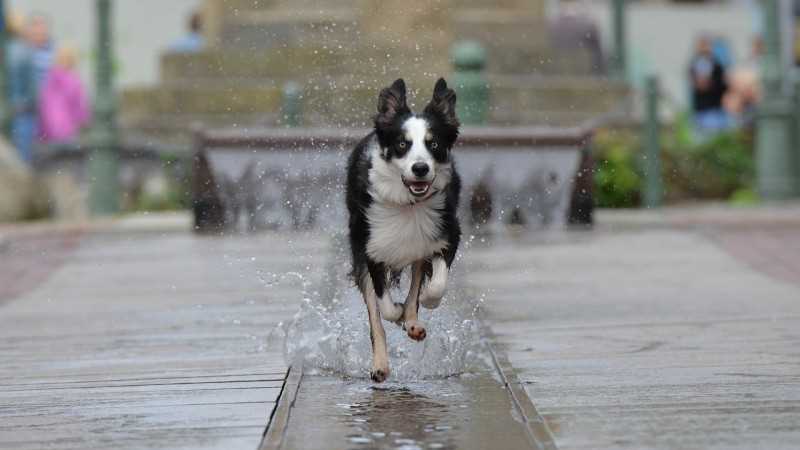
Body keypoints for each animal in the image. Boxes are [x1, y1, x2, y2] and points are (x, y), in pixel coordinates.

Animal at [346, 79, 462, 382]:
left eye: (434, 143)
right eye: (401, 144)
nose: (420, 168)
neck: (408, 204)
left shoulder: (446, 233)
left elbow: (436, 283)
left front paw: (426, 302)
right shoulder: (372, 248)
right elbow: (383, 306)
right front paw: (395, 312)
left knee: (416, 286)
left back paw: (412, 324)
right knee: (375, 317)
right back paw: (380, 365)